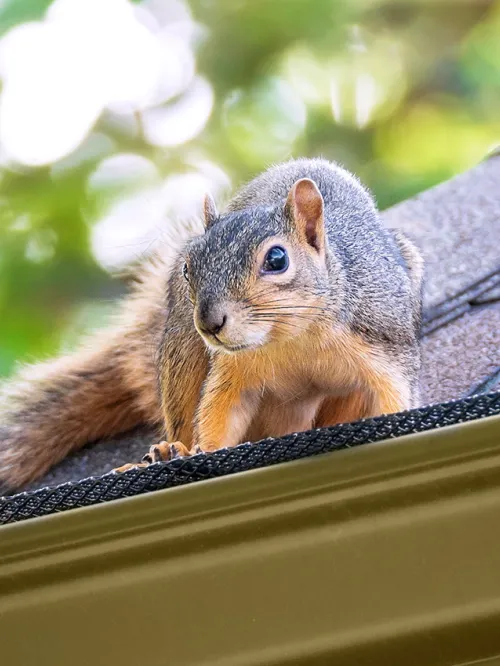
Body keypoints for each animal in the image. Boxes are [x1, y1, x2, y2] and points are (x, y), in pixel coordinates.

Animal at [0, 154, 424, 488]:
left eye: (277, 259)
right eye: (189, 267)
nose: (209, 323)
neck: (292, 338)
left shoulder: (383, 346)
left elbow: (394, 397)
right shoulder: (234, 371)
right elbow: (221, 411)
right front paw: (202, 450)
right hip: (181, 353)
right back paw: (170, 448)